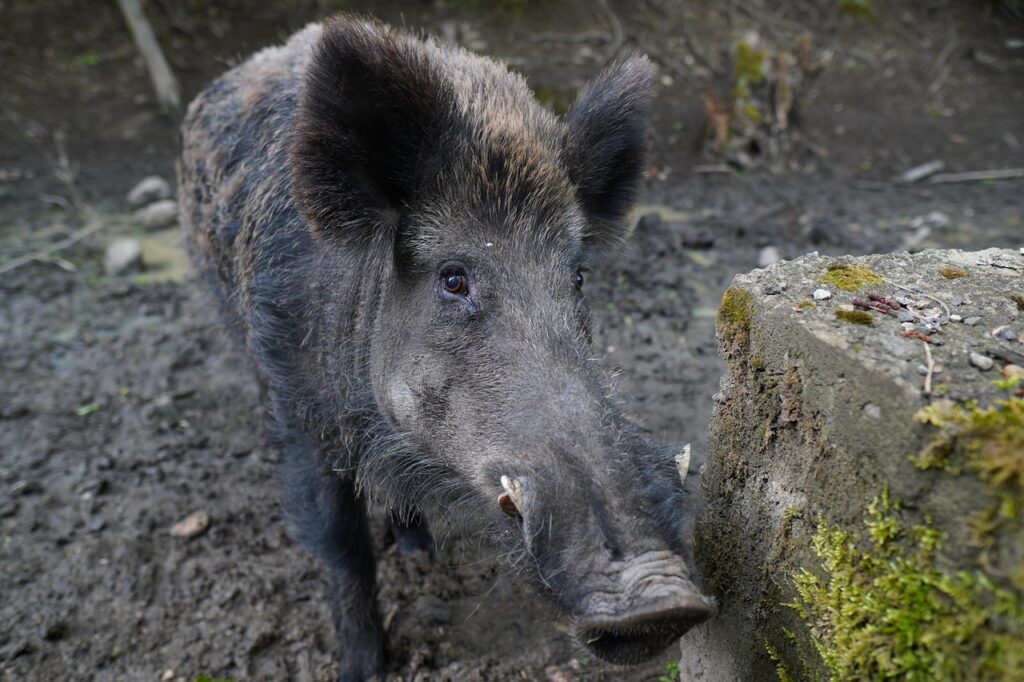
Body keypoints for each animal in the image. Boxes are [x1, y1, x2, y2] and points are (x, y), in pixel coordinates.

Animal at [178, 15, 715, 681]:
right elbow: (341, 547)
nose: (664, 599)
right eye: (453, 278)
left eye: (577, 277)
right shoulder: (302, 408)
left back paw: (418, 550)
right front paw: (363, 668)